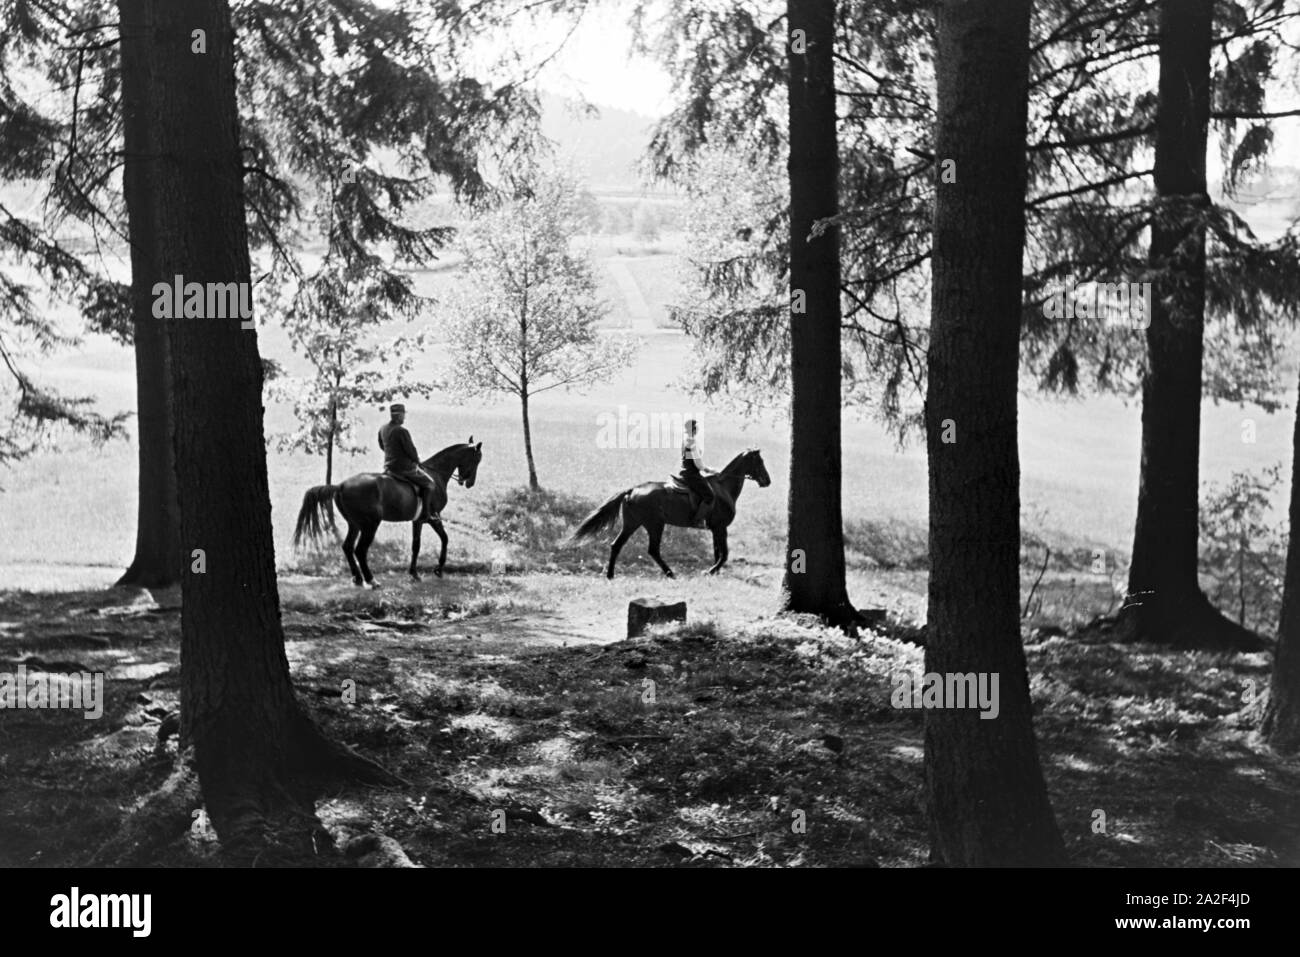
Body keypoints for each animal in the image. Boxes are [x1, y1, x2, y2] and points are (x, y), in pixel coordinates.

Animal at [292, 439, 486, 587]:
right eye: (477, 460)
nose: (469, 483)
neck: (435, 475)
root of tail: (340, 485)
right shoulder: (431, 518)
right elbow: (440, 540)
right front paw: (436, 569)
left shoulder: (418, 521)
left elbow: (419, 545)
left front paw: (416, 572)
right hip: (370, 525)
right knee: (360, 550)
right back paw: (371, 580)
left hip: (354, 525)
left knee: (347, 547)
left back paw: (358, 578)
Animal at [572, 452, 769, 579]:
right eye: (760, 462)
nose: (767, 481)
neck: (723, 488)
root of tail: (633, 490)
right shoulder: (720, 528)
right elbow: (724, 554)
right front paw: (711, 571)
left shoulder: (715, 529)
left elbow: (717, 552)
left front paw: (715, 573)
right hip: (655, 525)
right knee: (653, 550)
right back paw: (670, 573)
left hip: (632, 523)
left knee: (616, 545)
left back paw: (610, 575)